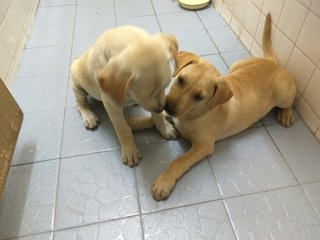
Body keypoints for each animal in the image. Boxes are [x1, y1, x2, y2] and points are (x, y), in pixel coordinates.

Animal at [71, 25, 179, 165]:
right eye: (146, 94)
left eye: (166, 87)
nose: (162, 108)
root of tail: (77, 60)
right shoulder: (112, 106)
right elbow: (123, 129)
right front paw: (129, 151)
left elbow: (157, 116)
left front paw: (164, 127)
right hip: (76, 81)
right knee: (80, 102)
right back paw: (89, 116)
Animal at [151, 13, 296, 201]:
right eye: (181, 79)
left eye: (199, 97)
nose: (168, 107)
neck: (194, 114)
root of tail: (273, 63)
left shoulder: (203, 146)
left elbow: (179, 161)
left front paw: (164, 182)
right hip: (236, 66)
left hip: (284, 94)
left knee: (289, 103)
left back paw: (286, 114)